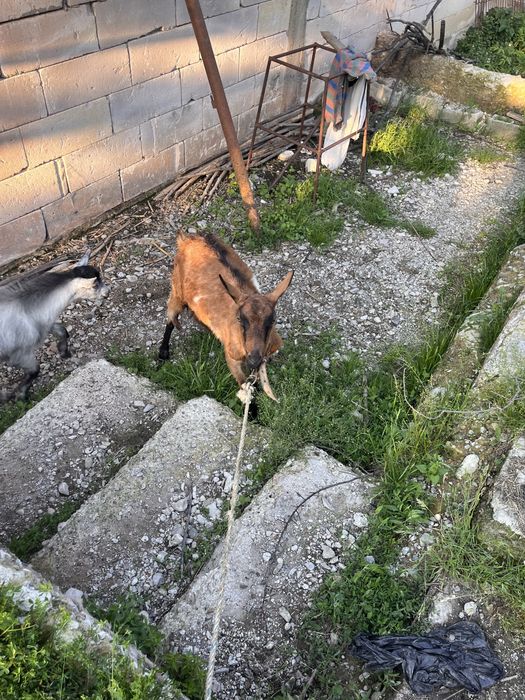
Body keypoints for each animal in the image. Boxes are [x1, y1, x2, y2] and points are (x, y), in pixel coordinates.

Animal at [0, 251, 108, 402]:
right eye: (95, 285)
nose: (107, 292)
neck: (26, 308)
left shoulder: (44, 322)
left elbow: (62, 331)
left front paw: (64, 352)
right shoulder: (19, 354)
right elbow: (35, 371)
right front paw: (20, 395)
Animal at [159, 232, 293, 400]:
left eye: (273, 320)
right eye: (240, 319)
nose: (253, 359)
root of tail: (188, 238)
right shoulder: (232, 358)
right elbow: (245, 385)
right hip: (177, 289)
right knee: (170, 318)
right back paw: (163, 353)